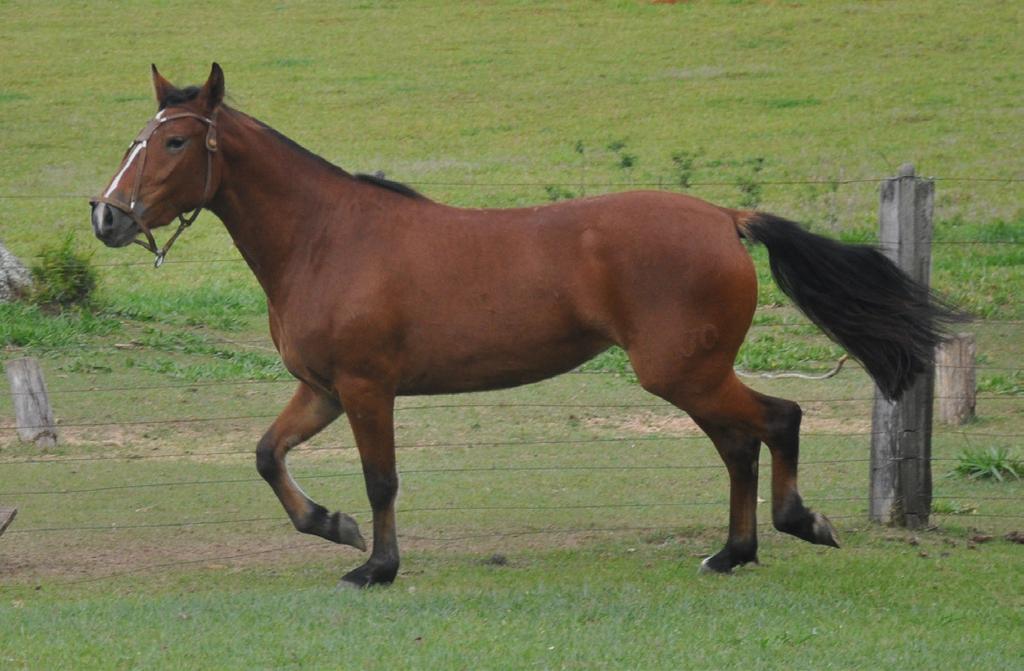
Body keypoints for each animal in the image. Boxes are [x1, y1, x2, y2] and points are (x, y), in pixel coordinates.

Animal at [90, 65, 958, 585]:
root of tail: (724, 217)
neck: (327, 237)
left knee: (777, 418)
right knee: (742, 442)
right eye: (135, 137)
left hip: (683, 370)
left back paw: (796, 523)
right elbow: (268, 456)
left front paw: (377, 565)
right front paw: (332, 526)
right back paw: (733, 550)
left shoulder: (368, 389)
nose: (107, 216)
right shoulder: (323, 390)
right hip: (695, 373)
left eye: (175, 139)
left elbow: (382, 478)